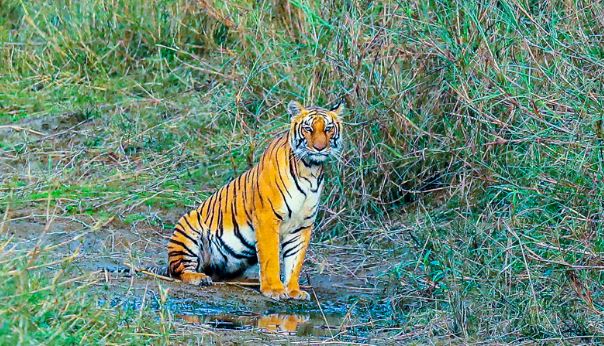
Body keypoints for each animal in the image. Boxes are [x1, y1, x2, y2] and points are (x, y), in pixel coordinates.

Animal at [168, 100, 342, 300]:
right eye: (308, 128)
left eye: (328, 129)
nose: (320, 148)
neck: (310, 170)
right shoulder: (267, 218)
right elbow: (271, 257)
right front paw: (275, 289)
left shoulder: (302, 226)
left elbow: (294, 261)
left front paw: (293, 290)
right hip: (188, 227)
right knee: (180, 270)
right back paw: (199, 278)